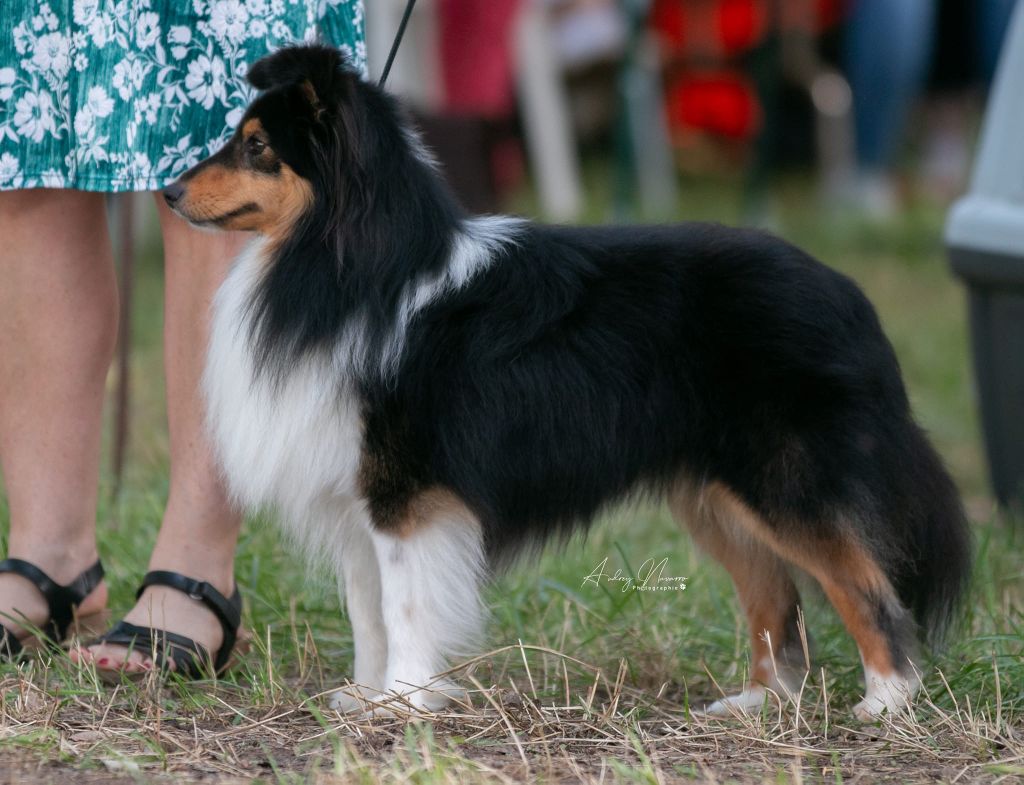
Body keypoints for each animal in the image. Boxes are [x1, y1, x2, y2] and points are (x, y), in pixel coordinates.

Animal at [163, 42, 970, 720]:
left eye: (258, 146)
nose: (168, 191)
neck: (348, 263)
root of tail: (847, 296)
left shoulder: (405, 496)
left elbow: (404, 608)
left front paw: (404, 701)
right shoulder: (356, 496)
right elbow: (368, 610)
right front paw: (367, 697)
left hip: (786, 481)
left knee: (863, 584)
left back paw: (886, 701)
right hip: (717, 497)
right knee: (775, 597)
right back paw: (755, 704)